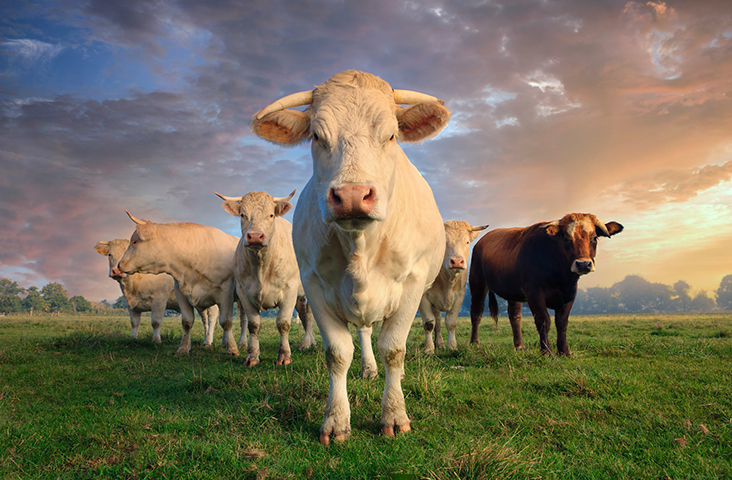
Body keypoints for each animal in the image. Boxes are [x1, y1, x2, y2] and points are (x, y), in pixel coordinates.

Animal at [117, 212, 243, 356]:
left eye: (134, 241)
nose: (119, 265)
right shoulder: (181, 292)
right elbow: (187, 322)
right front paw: (183, 349)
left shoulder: (225, 292)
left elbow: (226, 322)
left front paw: (232, 349)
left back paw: (242, 343)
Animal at [215, 189, 318, 366]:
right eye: (242, 215)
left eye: (271, 215)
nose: (255, 236)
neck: (261, 266)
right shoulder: (244, 292)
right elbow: (253, 325)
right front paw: (252, 356)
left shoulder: (289, 291)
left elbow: (283, 323)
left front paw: (284, 356)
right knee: (304, 315)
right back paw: (311, 342)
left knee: (310, 317)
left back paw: (306, 343)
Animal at [250, 70, 450, 444]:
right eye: (317, 135)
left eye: (391, 135)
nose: (353, 196)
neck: (360, 247)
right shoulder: (314, 284)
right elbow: (338, 353)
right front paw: (336, 420)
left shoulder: (413, 284)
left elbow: (394, 349)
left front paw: (394, 414)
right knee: (364, 332)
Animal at [419, 221, 488, 353]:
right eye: (444, 242)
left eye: (467, 242)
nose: (456, 261)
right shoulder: (423, 297)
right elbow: (429, 323)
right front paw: (428, 349)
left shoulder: (459, 296)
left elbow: (451, 323)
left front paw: (451, 346)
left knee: (438, 320)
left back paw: (440, 343)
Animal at [469, 213, 623, 356]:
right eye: (566, 239)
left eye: (594, 238)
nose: (583, 264)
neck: (560, 275)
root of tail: (481, 241)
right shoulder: (534, 293)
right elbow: (544, 321)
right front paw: (547, 352)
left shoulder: (570, 293)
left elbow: (562, 322)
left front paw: (564, 352)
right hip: (477, 284)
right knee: (476, 312)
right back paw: (474, 343)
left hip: (513, 292)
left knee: (515, 316)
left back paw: (519, 345)